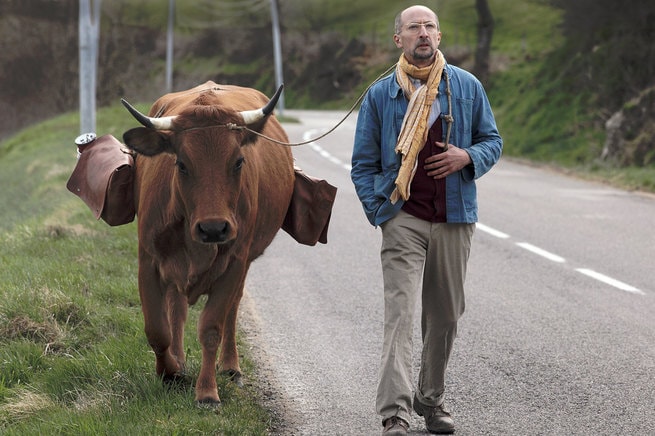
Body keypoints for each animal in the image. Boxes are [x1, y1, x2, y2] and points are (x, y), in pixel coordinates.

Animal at [121, 81, 294, 406]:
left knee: (233, 309)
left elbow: (211, 327)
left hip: (244, 263)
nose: (213, 228)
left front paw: (207, 391)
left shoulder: (235, 263)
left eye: (238, 162)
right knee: (177, 308)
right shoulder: (147, 261)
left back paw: (230, 366)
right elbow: (157, 329)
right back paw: (178, 360)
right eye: (181, 164)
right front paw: (170, 371)